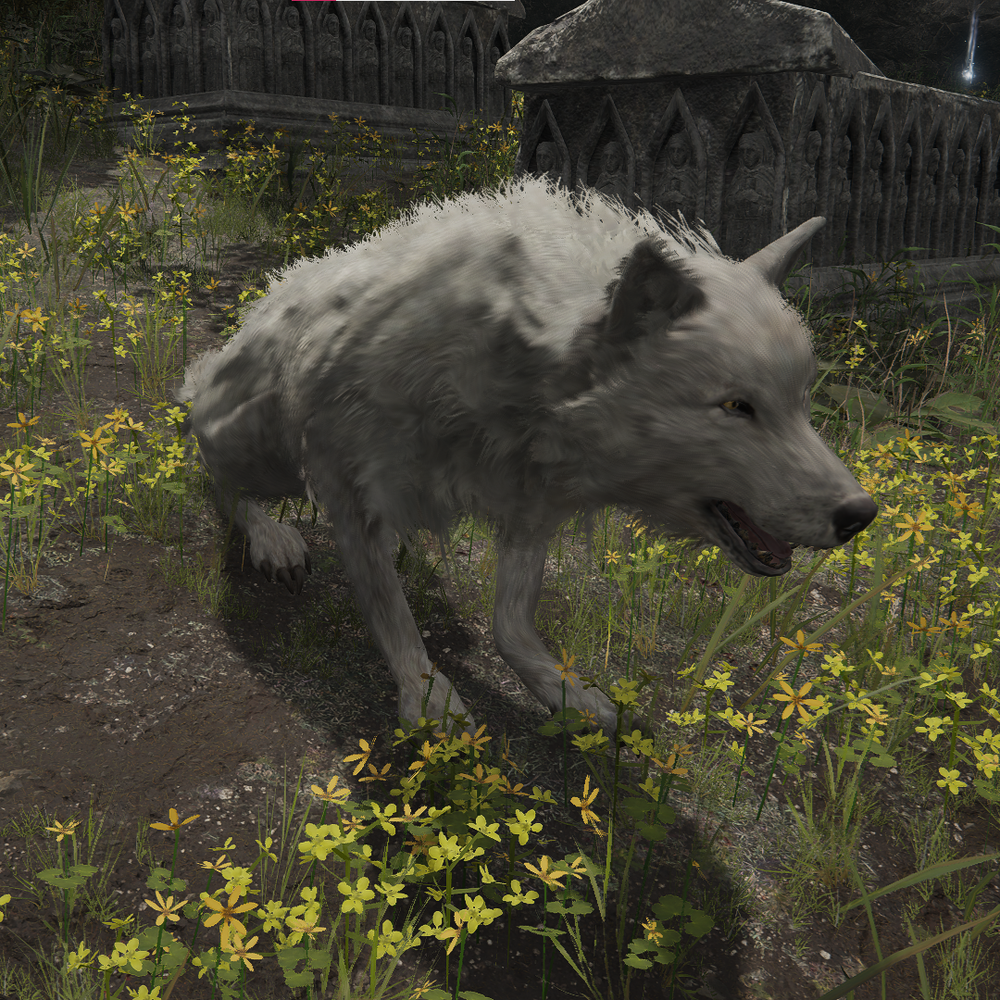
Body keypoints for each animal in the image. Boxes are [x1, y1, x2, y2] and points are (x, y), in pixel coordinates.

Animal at [178, 175, 877, 735]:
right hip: (252, 444)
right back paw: (271, 536)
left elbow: (510, 625)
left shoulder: (529, 507)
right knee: (211, 466)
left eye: (801, 402)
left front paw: (565, 692)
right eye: (737, 406)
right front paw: (428, 699)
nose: (862, 515)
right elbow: (392, 614)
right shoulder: (352, 492)